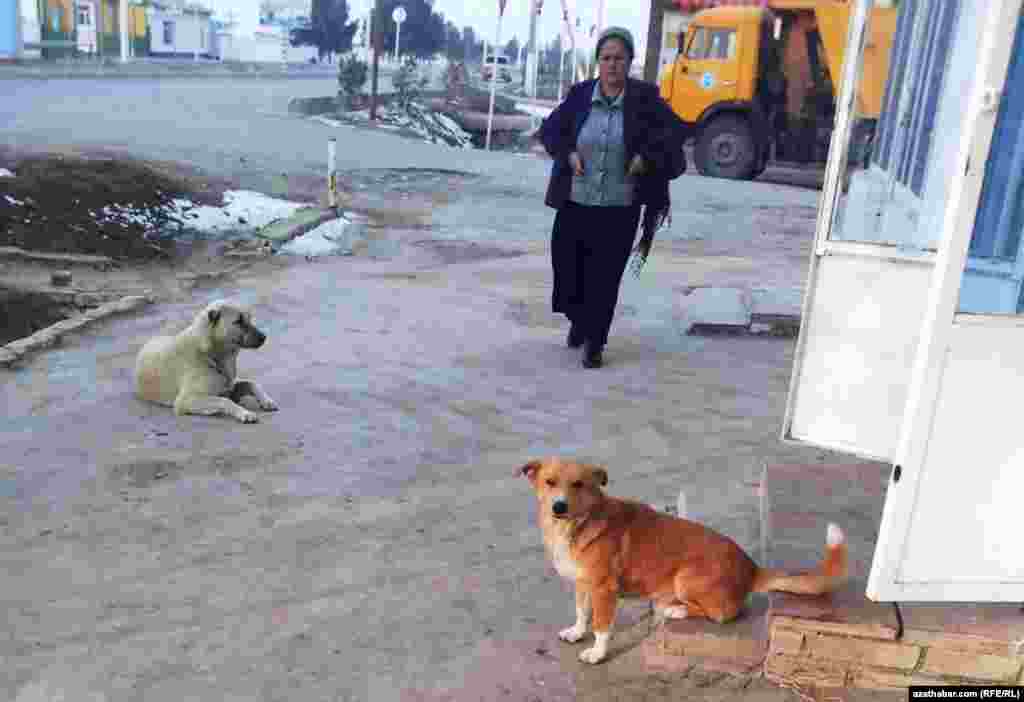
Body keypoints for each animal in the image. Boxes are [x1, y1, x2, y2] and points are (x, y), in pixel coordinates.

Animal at [138, 300, 280, 423]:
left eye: (249, 318)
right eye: (238, 321)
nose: (264, 337)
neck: (210, 354)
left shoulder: (230, 387)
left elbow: (251, 383)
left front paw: (266, 401)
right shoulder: (186, 400)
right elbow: (224, 400)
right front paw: (244, 413)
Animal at [520, 458, 847, 663]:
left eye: (578, 484)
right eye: (550, 482)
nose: (558, 507)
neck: (578, 524)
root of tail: (751, 567)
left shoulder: (604, 589)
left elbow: (601, 626)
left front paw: (597, 654)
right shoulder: (582, 585)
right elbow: (581, 612)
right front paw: (577, 632)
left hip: (686, 577)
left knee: (722, 614)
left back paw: (675, 610)